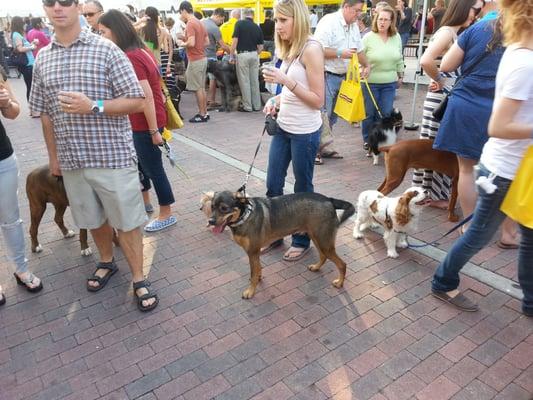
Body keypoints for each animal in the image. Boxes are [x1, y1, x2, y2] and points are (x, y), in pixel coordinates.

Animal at [200, 191, 354, 300]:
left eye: (224, 208)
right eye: (212, 207)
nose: (210, 221)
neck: (245, 216)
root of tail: (329, 199)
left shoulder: (252, 252)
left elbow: (253, 272)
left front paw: (250, 291)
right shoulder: (255, 252)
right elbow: (258, 268)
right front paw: (258, 279)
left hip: (324, 241)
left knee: (342, 264)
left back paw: (339, 283)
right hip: (318, 239)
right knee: (323, 256)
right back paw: (316, 267)